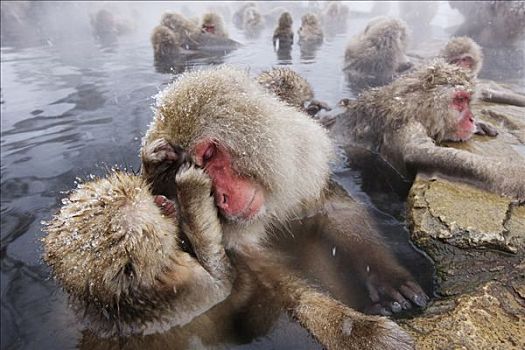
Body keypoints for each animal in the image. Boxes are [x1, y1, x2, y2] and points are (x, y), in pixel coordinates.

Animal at [43, 141, 233, 338]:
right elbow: (223, 280)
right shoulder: (191, 292)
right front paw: (191, 188)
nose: (163, 201)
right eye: (159, 211)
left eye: (150, 197)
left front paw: (154, 160)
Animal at [139, 66, 426, 350]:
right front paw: (354, 329)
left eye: (208, 156)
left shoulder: (303, 174)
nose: (221, 197)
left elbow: (338, 211)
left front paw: (387, 276)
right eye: (192, 167)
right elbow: (274, 277)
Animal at [332, 60, 524, 201]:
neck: (416, 106)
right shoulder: (403, 124)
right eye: (460, 100)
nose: (470, 119)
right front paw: (516, 176)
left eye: (468, 101)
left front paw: (480, 124)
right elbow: (416, 152)